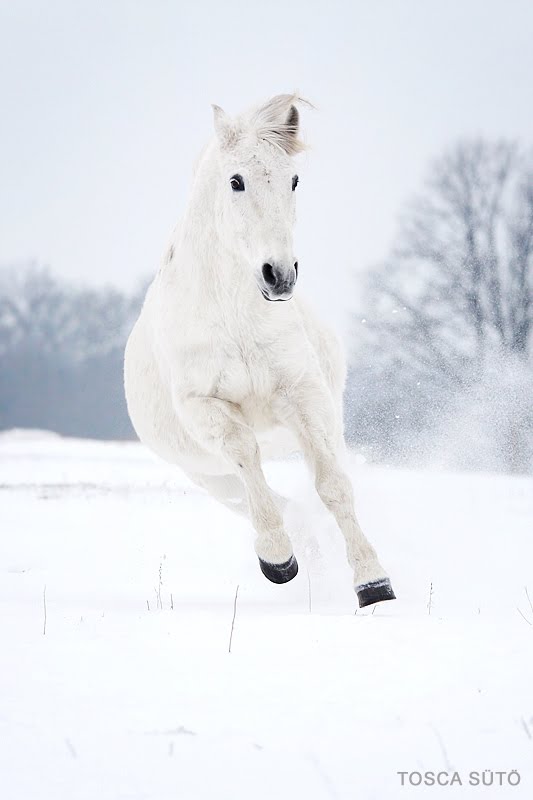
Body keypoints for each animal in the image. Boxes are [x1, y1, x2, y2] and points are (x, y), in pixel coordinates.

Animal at [124, 93, 395, 607]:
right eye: (236, 181)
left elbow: (332, 486)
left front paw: (373, 583)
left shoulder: (304, 395)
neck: (235, 316)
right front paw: (277, 560)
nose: (280, 275)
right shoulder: (205, 406)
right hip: (209, 477)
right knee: (260, 497)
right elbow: (246, 454)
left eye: (293, 179)